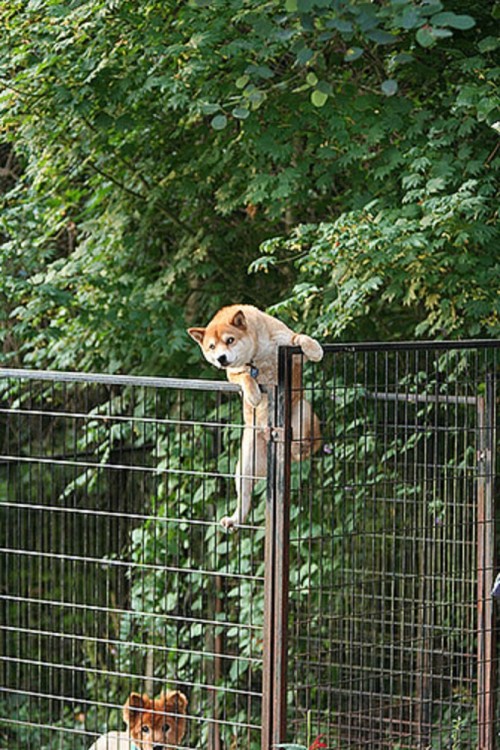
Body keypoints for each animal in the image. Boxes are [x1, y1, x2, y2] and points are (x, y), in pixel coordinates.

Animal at [188, 304, 324, 528]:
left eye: (230, 340)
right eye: (211, 346)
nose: (221, 359)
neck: (257, 355)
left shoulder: (290, 352)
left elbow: (300, 338)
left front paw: (315, 349)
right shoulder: (233, 374)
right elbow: (245, 377)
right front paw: (253, 394)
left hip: (302, 412)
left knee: (305, 448)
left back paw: (300, 447)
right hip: (244, 466)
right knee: (244, 498)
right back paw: (234, 519)